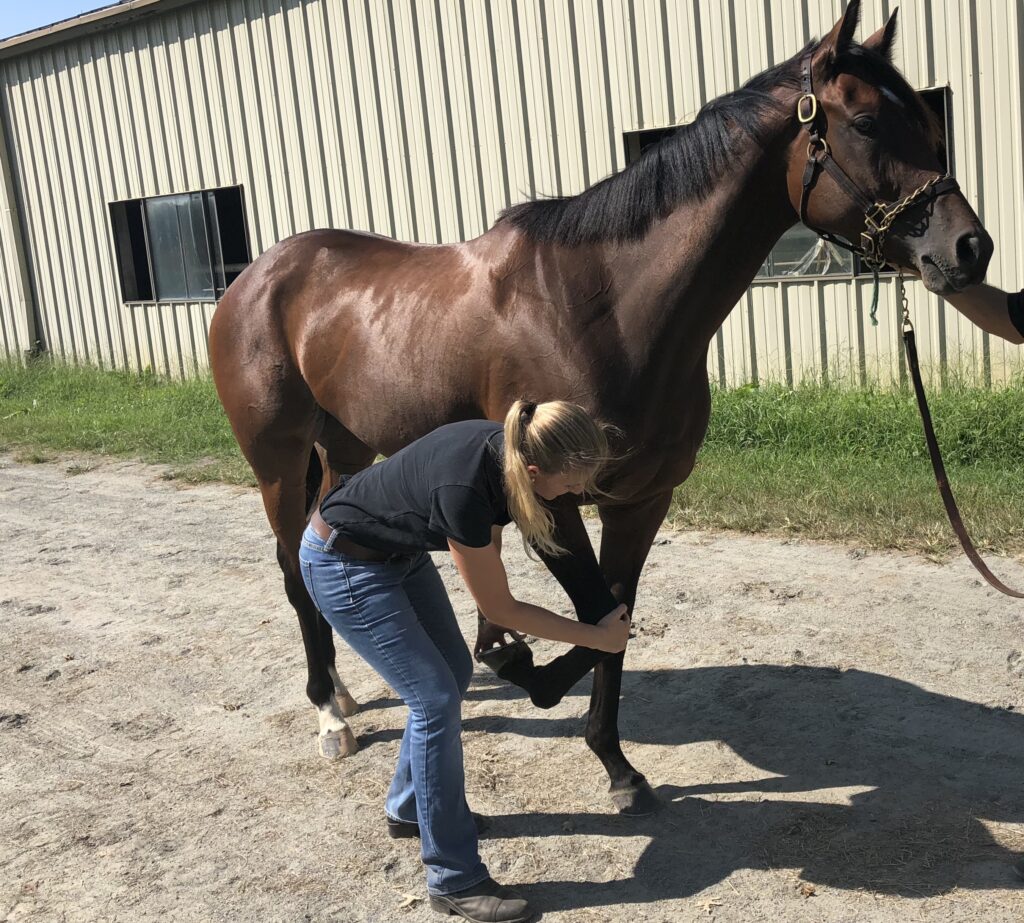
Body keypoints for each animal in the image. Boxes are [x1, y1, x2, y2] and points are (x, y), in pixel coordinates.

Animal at [209, 0, 992, 816]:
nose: (970, 249)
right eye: (866, 122)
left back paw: (349, 691)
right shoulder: (554, 501)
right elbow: (594, 617)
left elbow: (614, 613)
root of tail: (256, 276)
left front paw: (612, 759)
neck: (604, 305)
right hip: (278, 462)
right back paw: (328, 713)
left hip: (347, 449)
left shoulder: (640, 500)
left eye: (929, 123)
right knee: (292, 566)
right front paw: (525, 672)